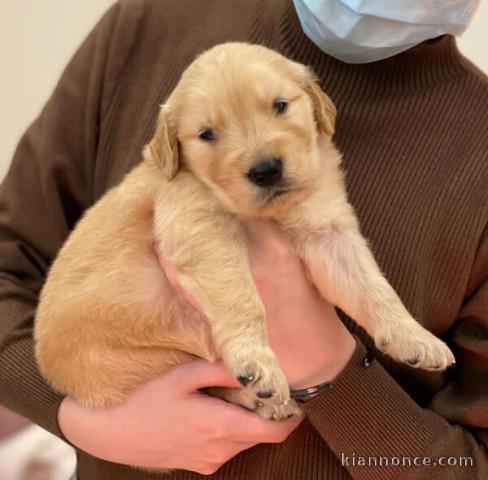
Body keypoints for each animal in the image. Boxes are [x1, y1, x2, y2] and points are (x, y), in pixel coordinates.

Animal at [33, 42, 454, 420]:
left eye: (280, 106)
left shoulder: (328, 231)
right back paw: (259, 399)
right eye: (206, 134)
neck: (273, 213)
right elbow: (241, 297)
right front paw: (256, 363)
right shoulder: (200, 227)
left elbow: (373, 287)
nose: (266, 170)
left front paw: (415, 337)